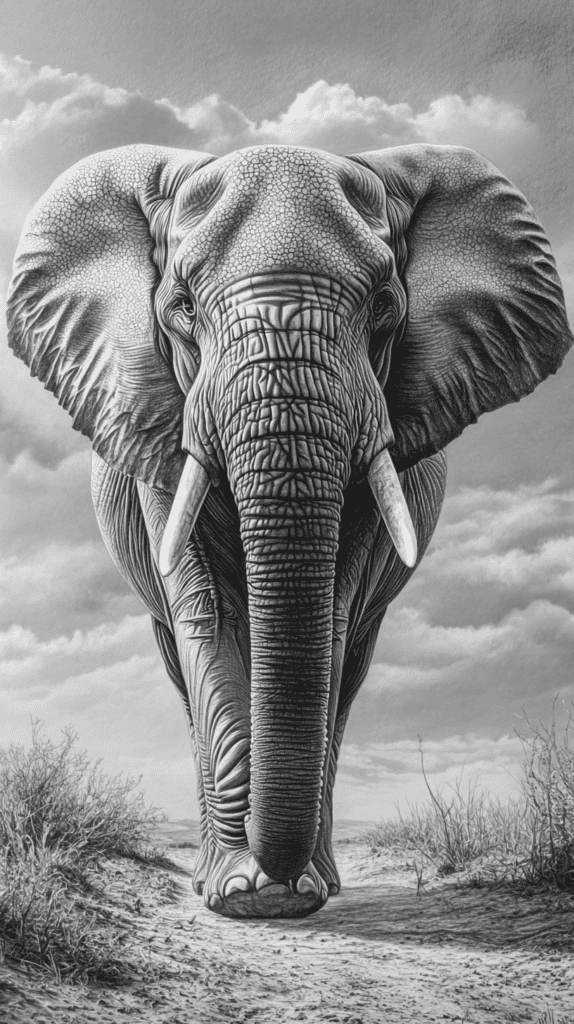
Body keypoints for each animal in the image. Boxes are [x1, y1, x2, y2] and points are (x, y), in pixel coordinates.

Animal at [6, 142, 572, 920]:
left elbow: (329, 617)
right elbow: (208, 617)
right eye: (182, 309)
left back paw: (322, 878)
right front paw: (241, 893)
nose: (275, 885)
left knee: (351, 667)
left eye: (385, 306)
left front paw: (291, 892)